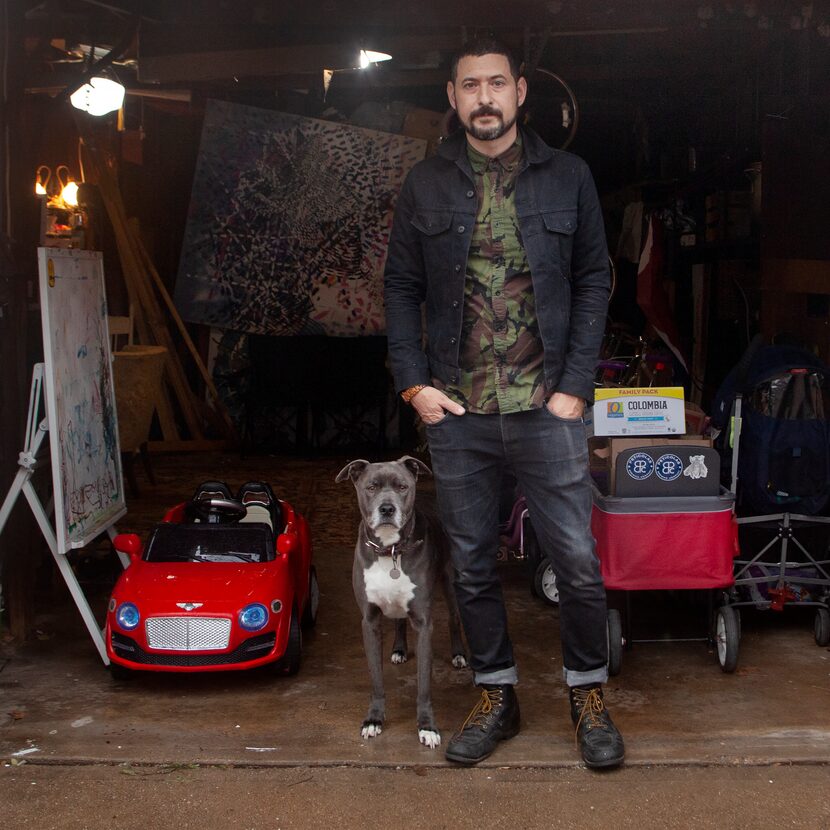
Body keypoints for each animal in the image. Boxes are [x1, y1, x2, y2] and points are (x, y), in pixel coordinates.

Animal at [336, 458, 468, 752]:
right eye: (371, 487)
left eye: (402, 487)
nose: (387, 508)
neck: (390, 551)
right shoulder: (369, 621)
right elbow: (376, 678)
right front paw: (374, 720)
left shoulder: (424, 623)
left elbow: (423, 685)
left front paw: (427, 726)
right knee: (398, 620)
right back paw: (399, 649)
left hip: (451, 581)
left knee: (454, 617)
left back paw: (458, 655)